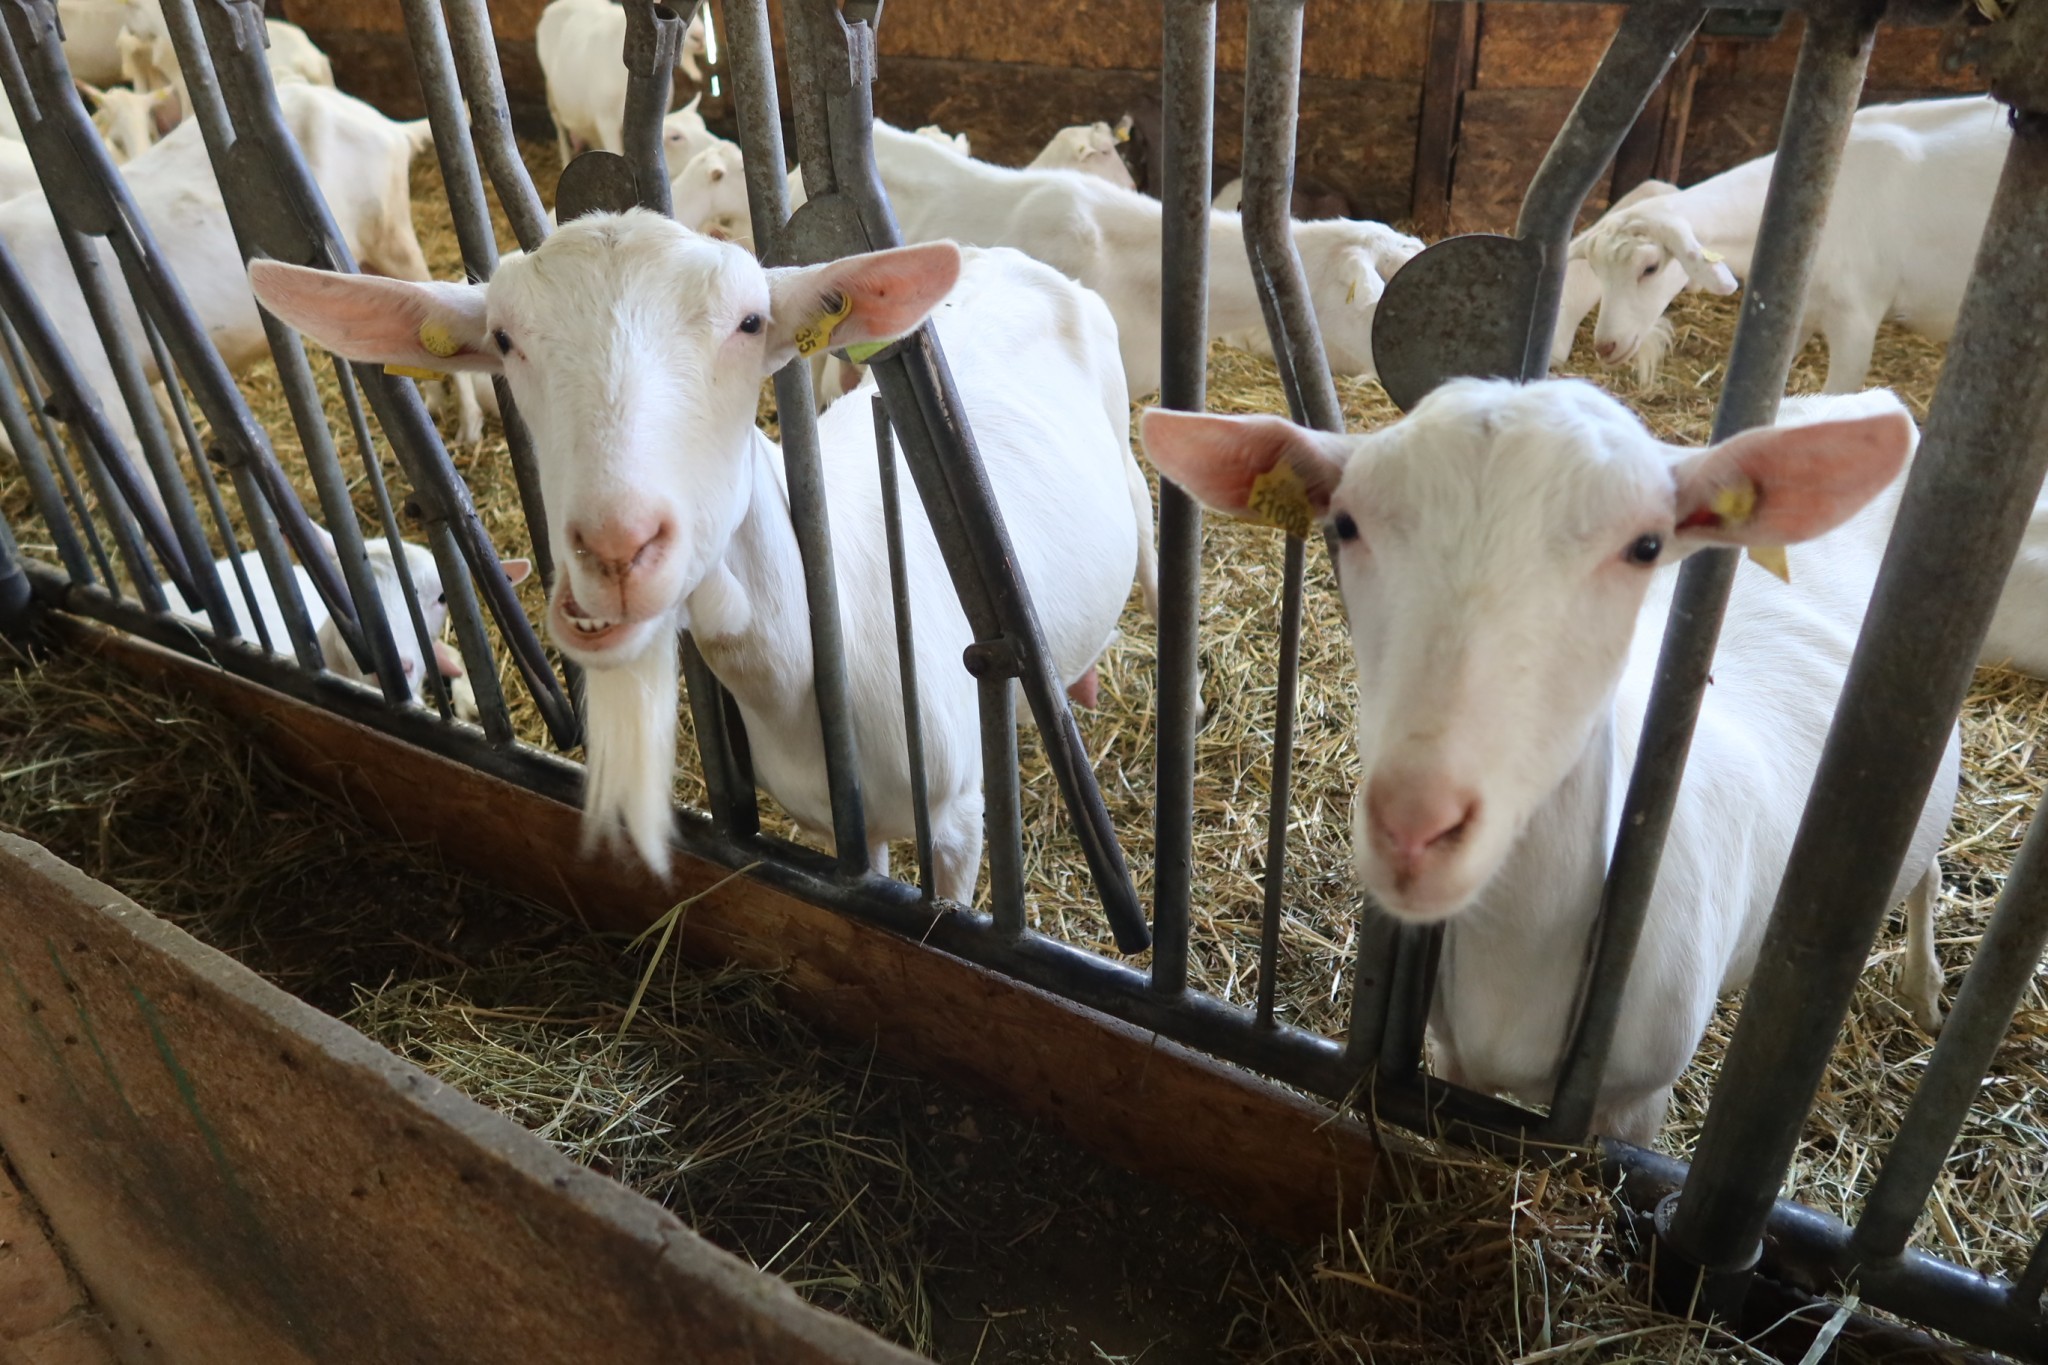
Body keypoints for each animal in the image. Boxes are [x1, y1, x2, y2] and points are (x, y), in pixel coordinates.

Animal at [251, 227, 1155, 896]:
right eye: (503, 340)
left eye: (751, 323)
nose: (617, 547)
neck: (798, 674)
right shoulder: (846, 829)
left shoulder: (960, 820)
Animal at [1146, 378, 1957, 1137]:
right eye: (1344, 524)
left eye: (1647, 546)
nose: (1415, 828)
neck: (1521, 950)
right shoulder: (1452, 1061)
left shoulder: (1636, 1101)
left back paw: (1924, 989)